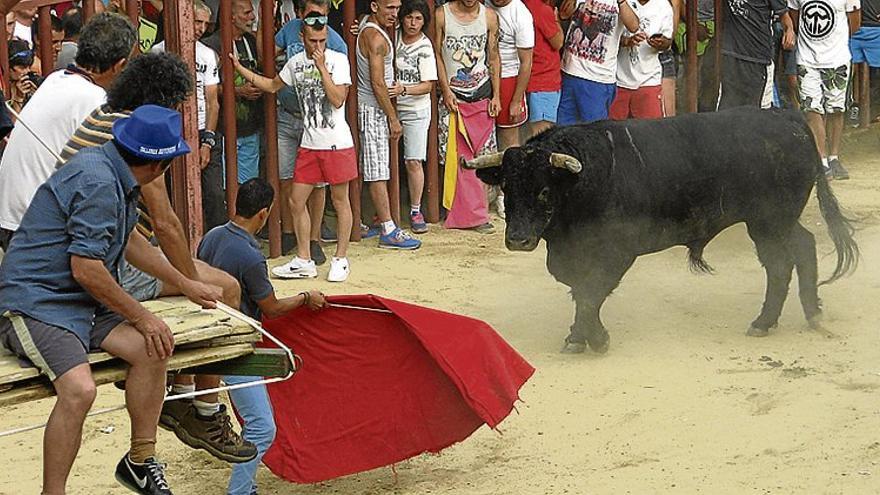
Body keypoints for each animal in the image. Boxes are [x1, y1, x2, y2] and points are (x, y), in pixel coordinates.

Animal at [468, 109, 860, 356]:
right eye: (506, 186)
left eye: (544, 191)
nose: (518, 240)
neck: (585, 178)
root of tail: (787, 117)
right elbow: (580, 290)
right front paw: (579, 337)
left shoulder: (616, 252)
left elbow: (592, 293)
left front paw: (595, 339)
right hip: (774, 221)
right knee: (800, 249)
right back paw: (804, 314)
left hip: (770, 222)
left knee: (782, 263)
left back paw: (768, 321)